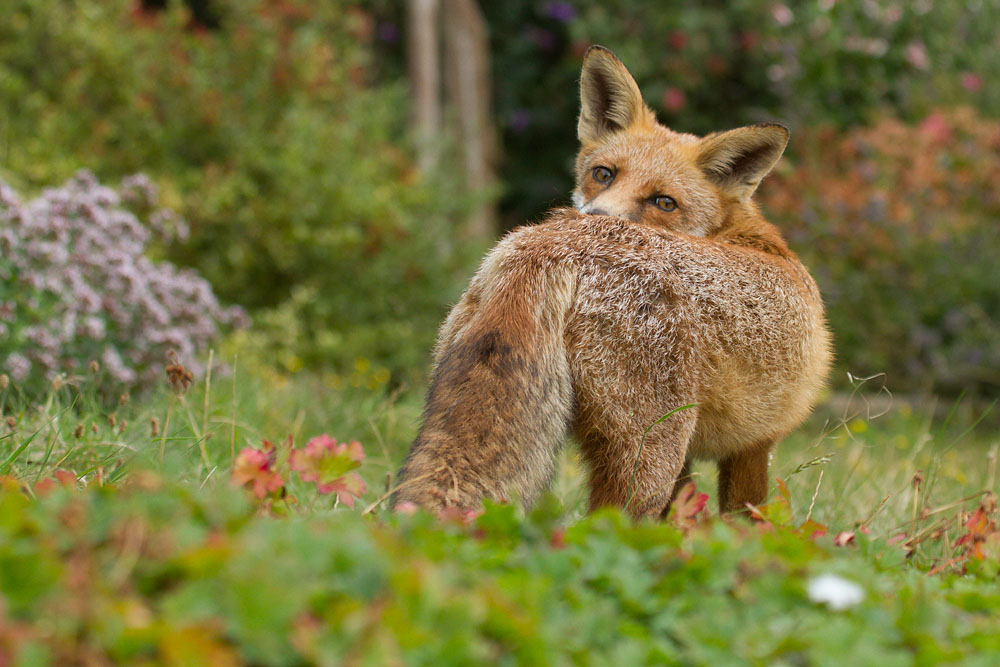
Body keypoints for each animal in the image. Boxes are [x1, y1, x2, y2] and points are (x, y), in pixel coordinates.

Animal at [392, 46, 832, 518]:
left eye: (664, 202)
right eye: (603, 174)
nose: (597, 216)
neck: (743, 231)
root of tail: (551, 245)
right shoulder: (755, 444)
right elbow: (747, 520)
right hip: (649, 456)